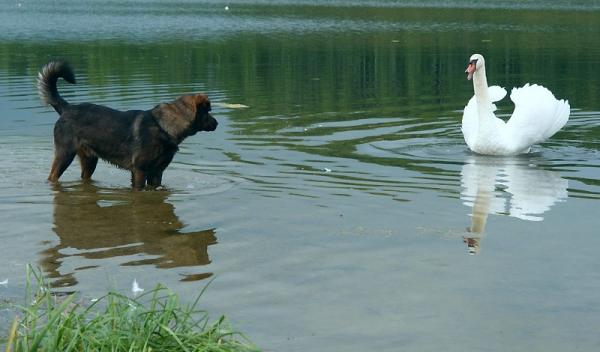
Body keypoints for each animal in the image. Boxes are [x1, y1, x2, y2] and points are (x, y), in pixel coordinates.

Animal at [37, 62, 218, 191]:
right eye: (208, 111)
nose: (217, 123)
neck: (163, 126)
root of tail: (67, 108)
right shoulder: (139, 170)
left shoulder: (157, 173)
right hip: (64, 154)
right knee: (52, 177)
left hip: (89, 160)